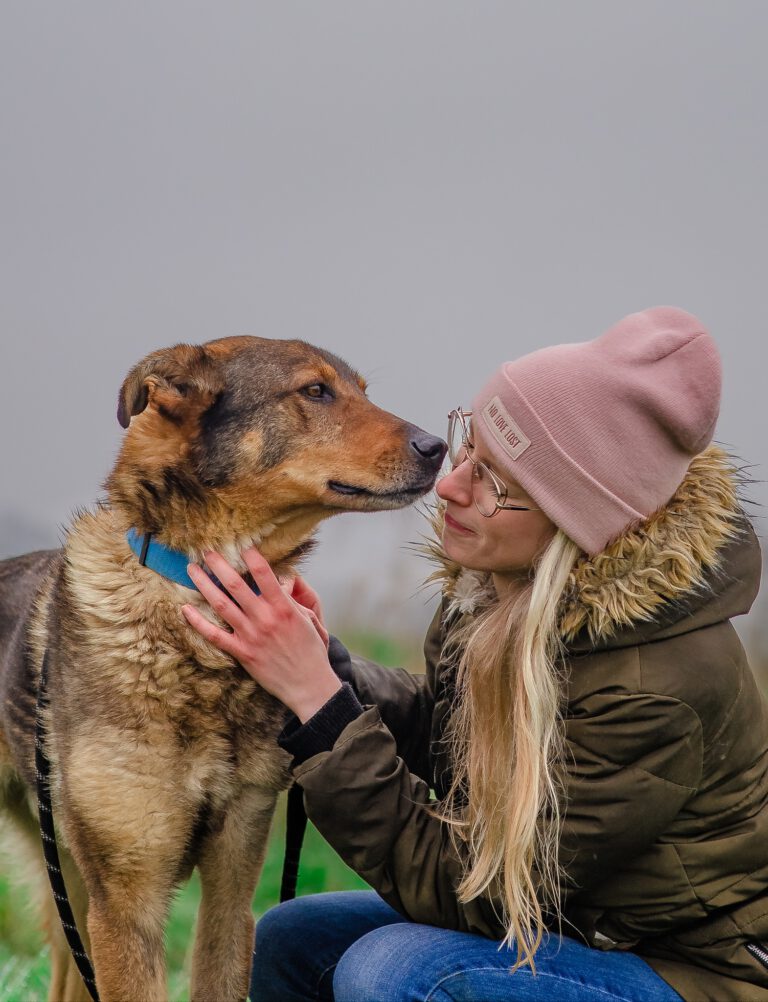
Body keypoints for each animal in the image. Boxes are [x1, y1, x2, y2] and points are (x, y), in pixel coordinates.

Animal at [0, 338, 445, 1002]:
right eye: (315, 391)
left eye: (362, 391)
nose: (439, 447)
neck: (195, 594)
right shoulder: (127, 904)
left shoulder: (233, 879)